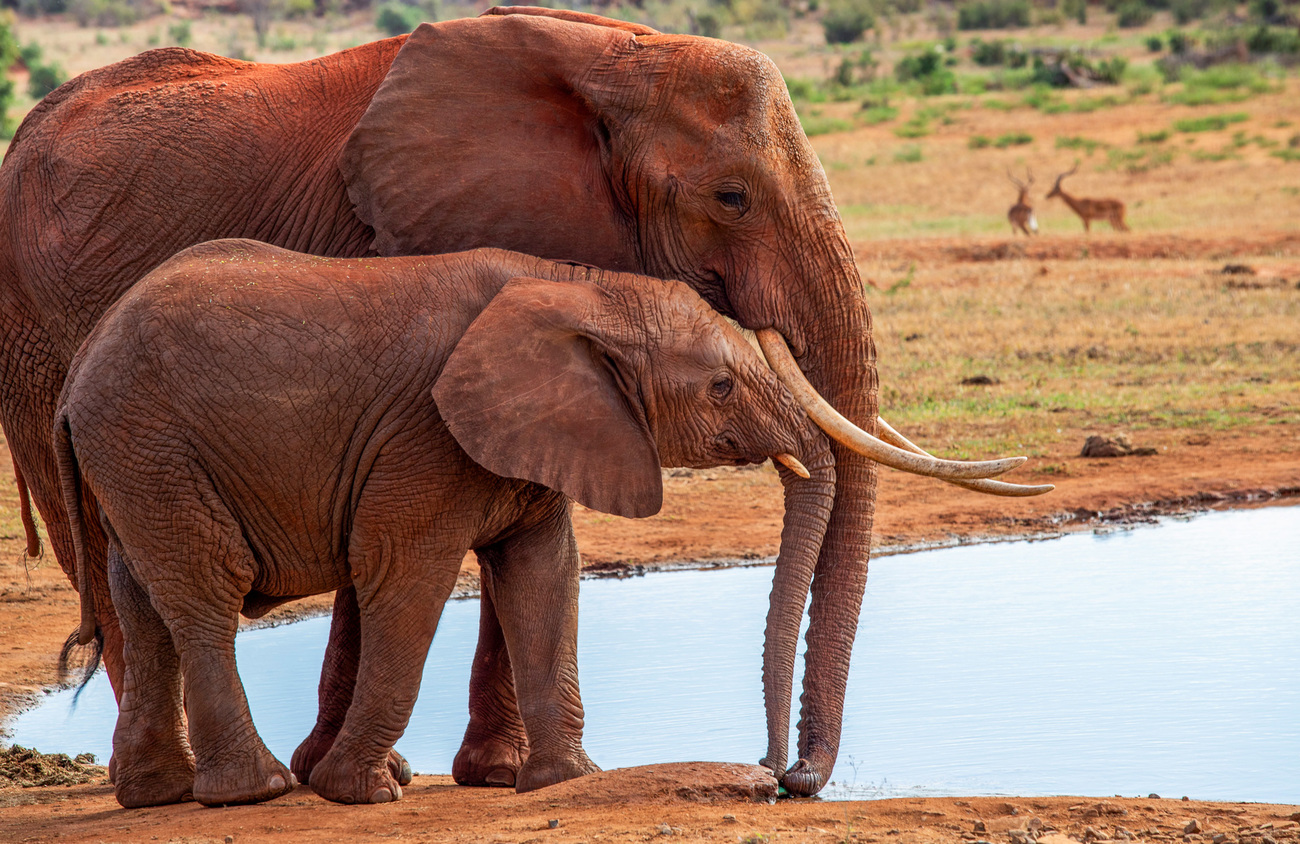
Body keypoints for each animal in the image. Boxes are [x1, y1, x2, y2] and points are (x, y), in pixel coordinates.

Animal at [53, 240, 832, 806]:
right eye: (721, 387)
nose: (776, 773)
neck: (576, 286)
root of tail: (77, 369)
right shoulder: (423, 436)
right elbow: (406, 577)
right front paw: (359, 794)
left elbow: (544, 573)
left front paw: (567, 780)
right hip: (150, 441)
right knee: (207, 589)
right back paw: (256, 791)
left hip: (134, 457)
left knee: (140, 598)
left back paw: (158, 795)